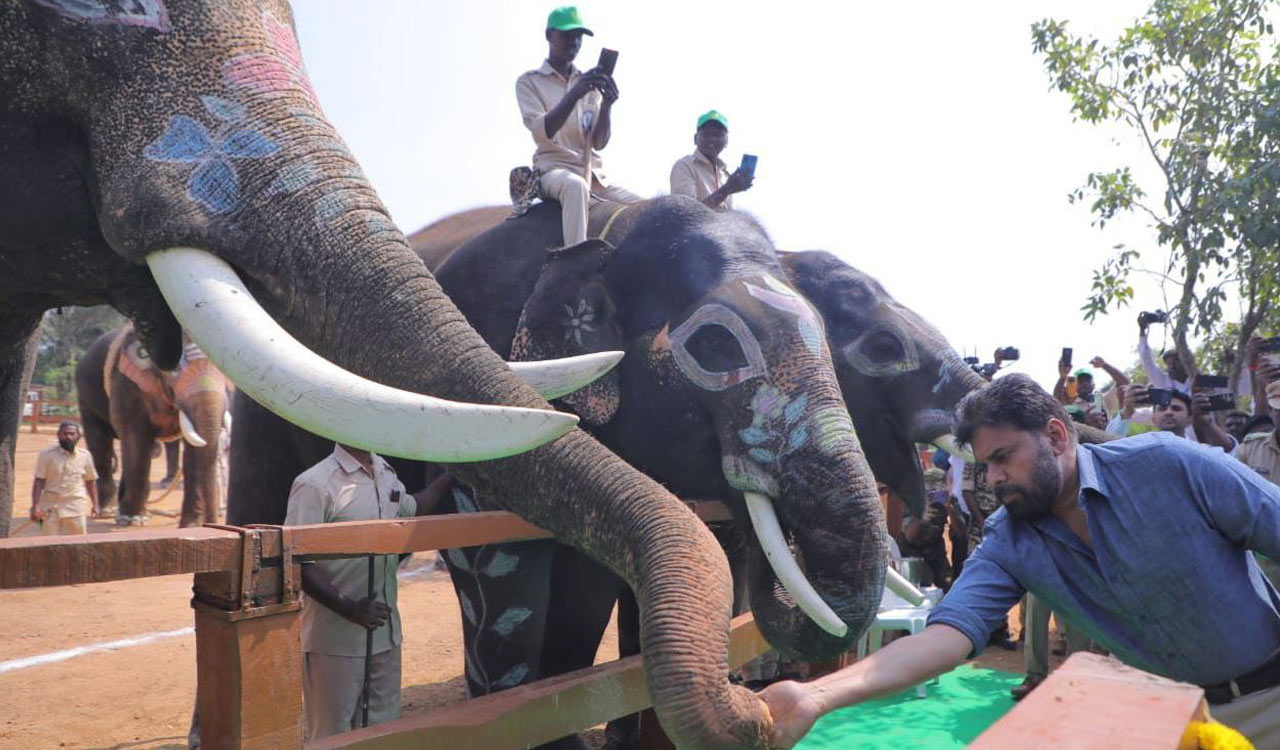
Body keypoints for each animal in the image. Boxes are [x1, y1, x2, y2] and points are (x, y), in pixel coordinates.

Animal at [75, 325, 230, 526]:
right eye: (175, 371)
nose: (210, 523)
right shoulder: (126, 384)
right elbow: (136, 439)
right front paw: (132, 520)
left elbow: (194, 448)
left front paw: (191, 526)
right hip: (85, 398)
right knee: (100, 444)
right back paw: (109, 512)